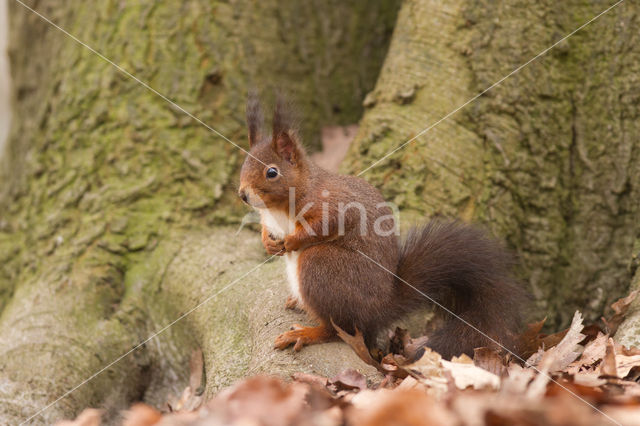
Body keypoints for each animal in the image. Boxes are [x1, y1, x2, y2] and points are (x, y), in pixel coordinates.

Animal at [238, 94, 528, 360]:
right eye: (244, 165)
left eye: (272, 172)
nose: (242, 195)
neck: (279, 206)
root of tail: (380, 308)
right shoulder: (269, 218)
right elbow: (265, 228)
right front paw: (268, 242)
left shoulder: (335, 205)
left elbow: (324, 226)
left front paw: (291, 241)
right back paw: (297, 302)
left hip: (322, 266)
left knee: (338, 329)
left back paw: (307, 332)